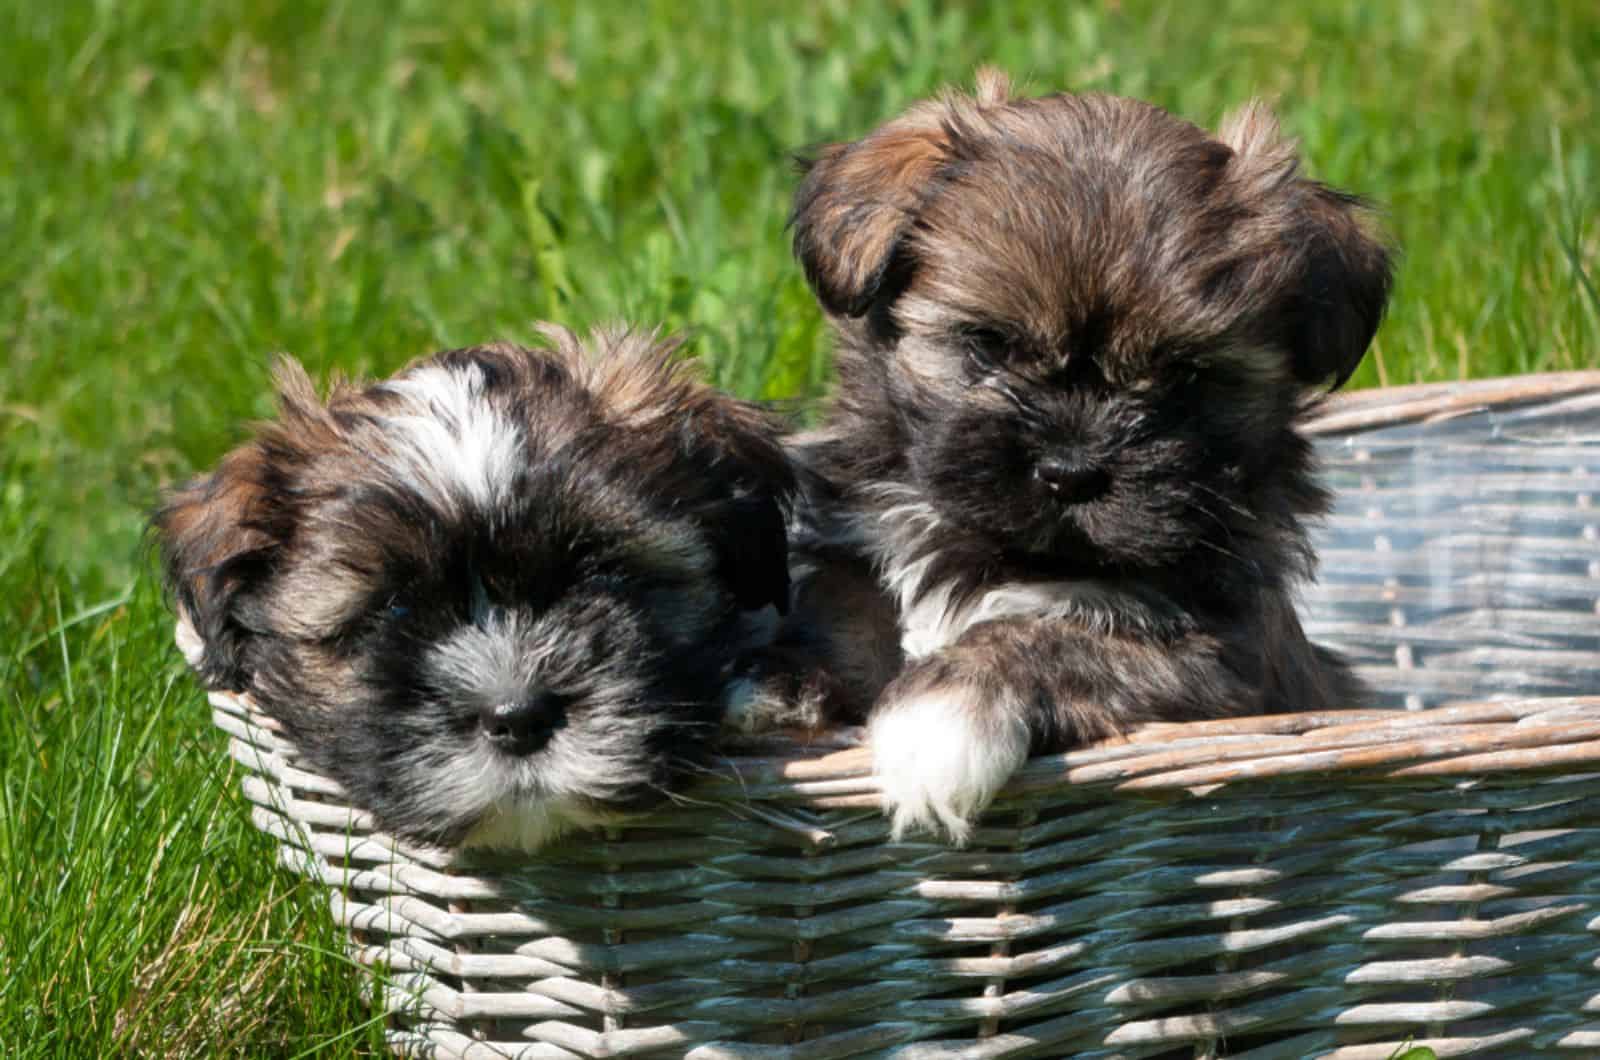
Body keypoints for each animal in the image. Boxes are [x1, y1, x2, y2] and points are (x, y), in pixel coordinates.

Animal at [793, 70, 1395, 845]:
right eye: (987, 344)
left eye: (1185, 375)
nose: (1070, 471)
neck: (1005, 552)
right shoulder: (857, 552)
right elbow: (842, 612)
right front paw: (787, 682)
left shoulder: (1214, 664)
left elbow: (1051, 637)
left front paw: (939, 716)